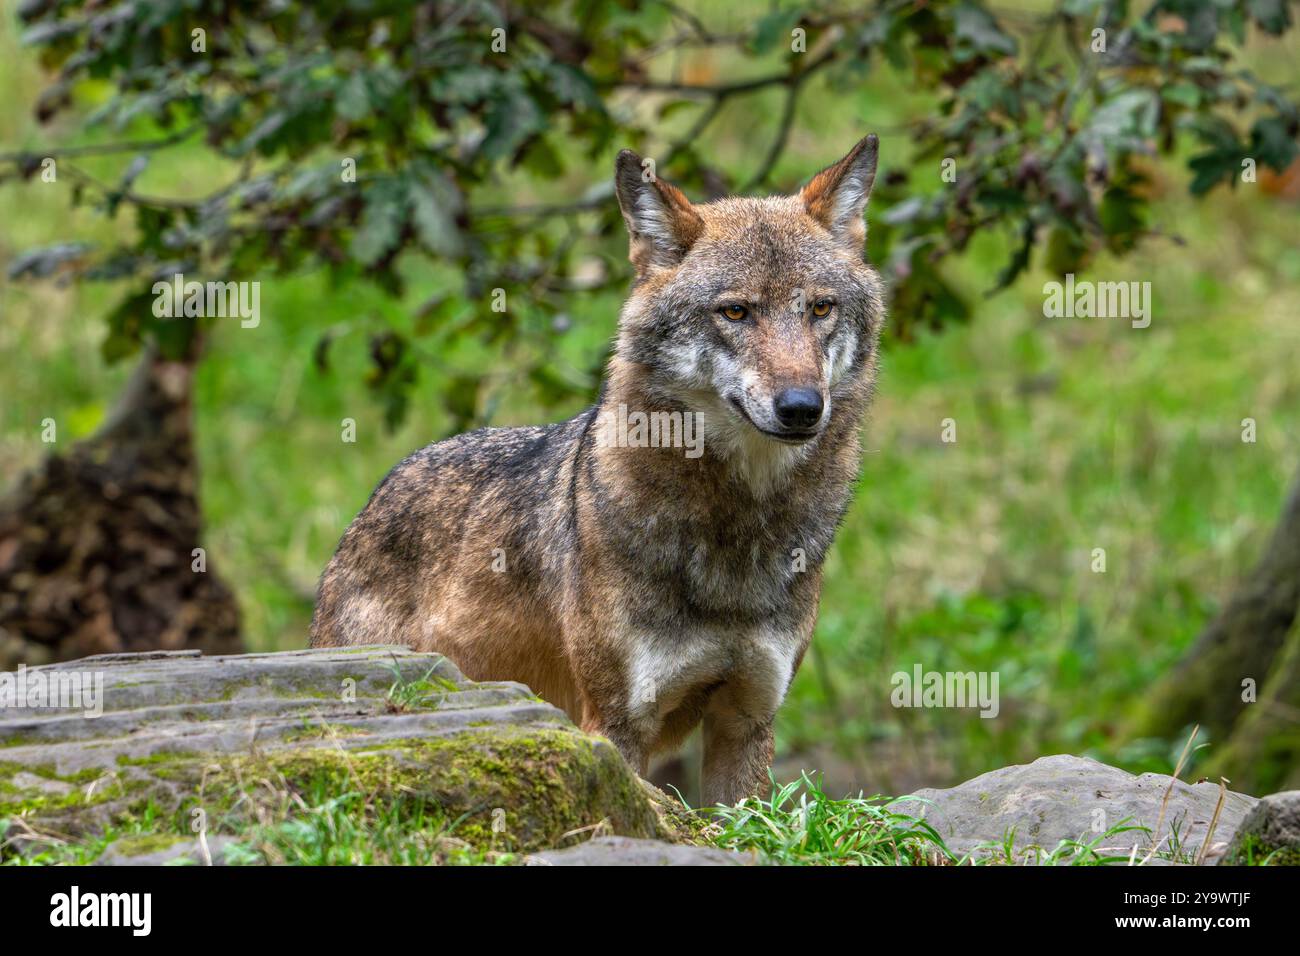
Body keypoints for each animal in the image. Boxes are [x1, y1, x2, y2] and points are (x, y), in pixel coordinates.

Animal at [311, 135, 887, 805]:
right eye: (736, 312)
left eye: (820, 308)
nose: (801, 407)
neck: (736, 534)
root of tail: (374, 497)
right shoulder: (616, 722)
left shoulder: (747, 720)